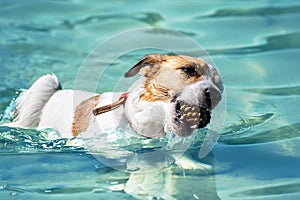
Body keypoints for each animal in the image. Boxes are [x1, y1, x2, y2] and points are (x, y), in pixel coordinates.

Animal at [2, 54, 223, 199]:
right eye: (188, 70)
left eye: (218, 83)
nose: (216, 94)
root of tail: (58, 92)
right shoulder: (96, 143)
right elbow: (132, 156)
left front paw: (190, 164)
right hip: (44, 84)